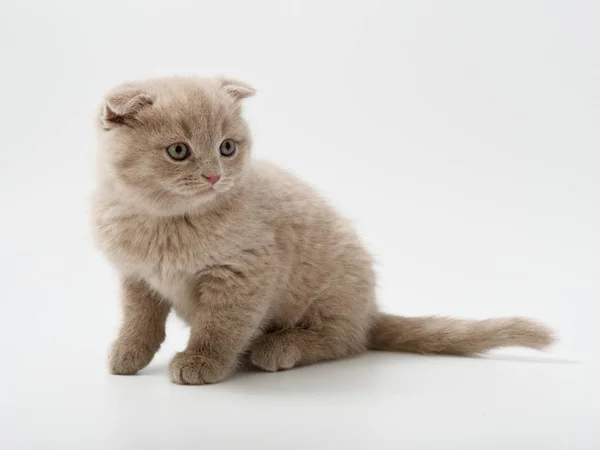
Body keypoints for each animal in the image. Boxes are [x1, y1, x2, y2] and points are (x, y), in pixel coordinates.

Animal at [91, 75, 556, 384]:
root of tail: (369, 310)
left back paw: (277, 348)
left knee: (346, 340)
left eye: (227, 147)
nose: (213, 176)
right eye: (178, 151)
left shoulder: (243, 275)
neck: (165, 221)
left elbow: (220, 326)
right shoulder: (137, 277)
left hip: (329, 298)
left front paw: (202, 361)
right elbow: (141, 321)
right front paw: (128, 354)